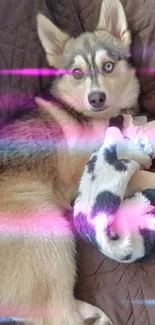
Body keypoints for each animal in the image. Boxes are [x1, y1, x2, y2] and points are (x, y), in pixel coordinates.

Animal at [0, 0, 139, 322]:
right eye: (76, 73)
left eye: (108, 66)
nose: (96, 98)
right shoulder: (85, 173)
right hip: (49, 231)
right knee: (57, 313)